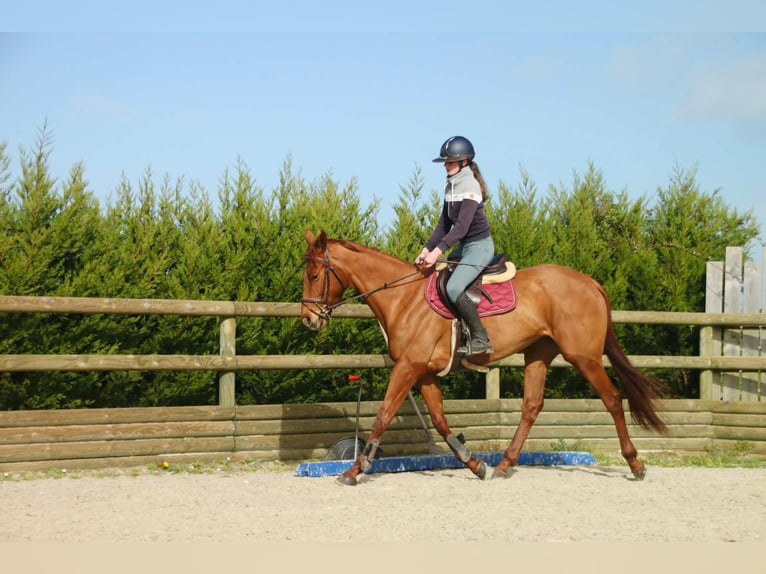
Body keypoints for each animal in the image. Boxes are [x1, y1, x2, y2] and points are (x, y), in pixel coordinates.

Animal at [301, 230, 667, 486]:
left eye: (315, 275)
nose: (308, 319)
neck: (403, 298)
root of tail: (591, 282)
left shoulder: (408, 368)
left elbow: (383, 416)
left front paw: (354, 471)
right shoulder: (425, 373)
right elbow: (440, 421)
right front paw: (474, 463)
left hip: (584, 357)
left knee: (613, 399)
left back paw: (635, 464)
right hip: (538, 354)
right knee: (531, 407)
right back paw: (504, 465)